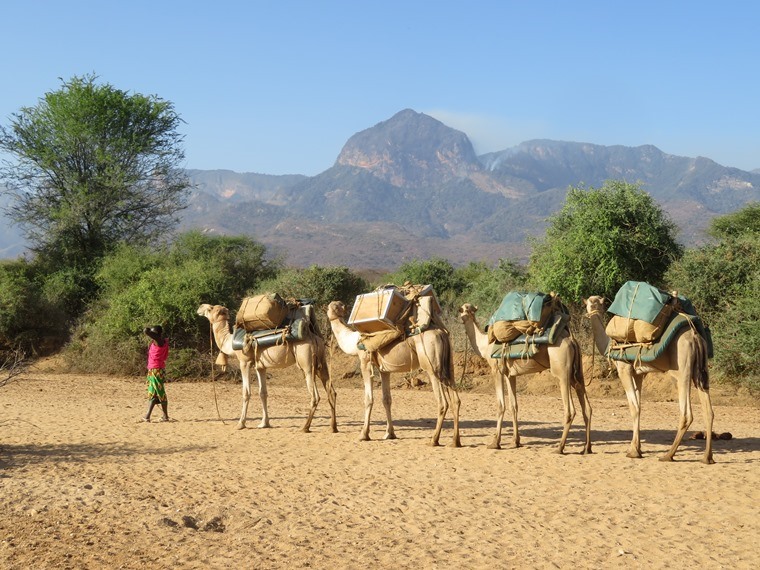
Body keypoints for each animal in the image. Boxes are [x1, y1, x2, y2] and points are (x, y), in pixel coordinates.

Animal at [197, 302, 336, 430]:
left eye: (210, 308)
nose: (199, 308)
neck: (229, 342)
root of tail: (314, 338)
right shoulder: (260, 367)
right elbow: (263, 393)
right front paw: (264, 423)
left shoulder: (244, 362)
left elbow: (246, 392)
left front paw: (240, 424)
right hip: (321, 363)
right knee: (331, 392)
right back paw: (333, 427)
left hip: (307, 363)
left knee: (315, 396)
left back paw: (305, 427)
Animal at [324, 300, 460, 446]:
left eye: (335, 306)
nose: (337, 306)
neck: (354, 342)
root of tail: (441, 334)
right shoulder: (384, 370)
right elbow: (387, 399)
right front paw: (390, 434)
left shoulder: (365, 362)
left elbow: (368, 399)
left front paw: (363, 434)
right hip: (449, 364)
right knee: (456, 400)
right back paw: (455, 441)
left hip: (432, 366)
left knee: (442, 403)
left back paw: (434, 440)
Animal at [460, 302, 592, 452]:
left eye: (461, 310)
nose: (462, 317)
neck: (485, 346)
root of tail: (571, 340)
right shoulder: (510, 374)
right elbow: (514, 406)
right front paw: (515, 442)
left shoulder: (496, 370)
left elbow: (501, 405)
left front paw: (495, 443)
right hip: (576, 373)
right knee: (586, 406)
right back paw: (586, 448)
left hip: (562, 371)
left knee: (570, 410)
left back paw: (560, 447)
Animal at [584, 292, 716, 462]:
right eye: (590, 303)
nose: (591, 309)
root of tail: (695, 337)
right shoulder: (639, 374)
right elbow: (639, 406)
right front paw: (638, 449)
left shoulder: (624, 369)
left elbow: (634, 407)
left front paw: (632, 451)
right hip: (700, 371)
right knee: (709, 411)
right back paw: (707, 457)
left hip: (682, 370)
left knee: (686, 413)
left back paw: (668, 455)